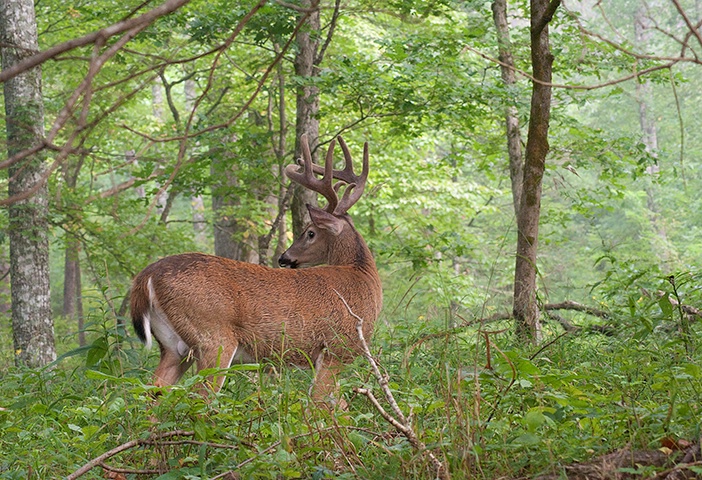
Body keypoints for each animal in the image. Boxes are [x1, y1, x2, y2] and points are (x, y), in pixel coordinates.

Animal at [132, 134, 384, 404]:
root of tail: (147, 276)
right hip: (213, 339)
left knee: (152, 394)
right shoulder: (335, 348)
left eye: (310, 233)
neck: (361, 276)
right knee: (198, 398)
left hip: (173, 347)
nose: (284, 258)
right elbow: (320, 406)